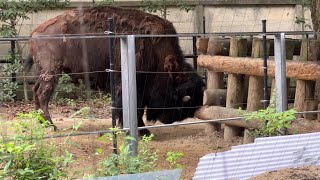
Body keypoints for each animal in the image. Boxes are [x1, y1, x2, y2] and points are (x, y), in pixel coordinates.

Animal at [25, 5, 205, 135]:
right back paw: (51, 126)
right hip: (52, 72)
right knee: (43, 94)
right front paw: (142, 132)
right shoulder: (131, 86)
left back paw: (42, 123)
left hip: (46, 72)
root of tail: (35, 32)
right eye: (179, 101)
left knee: (35, 90)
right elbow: (133, 109)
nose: (170, 120)